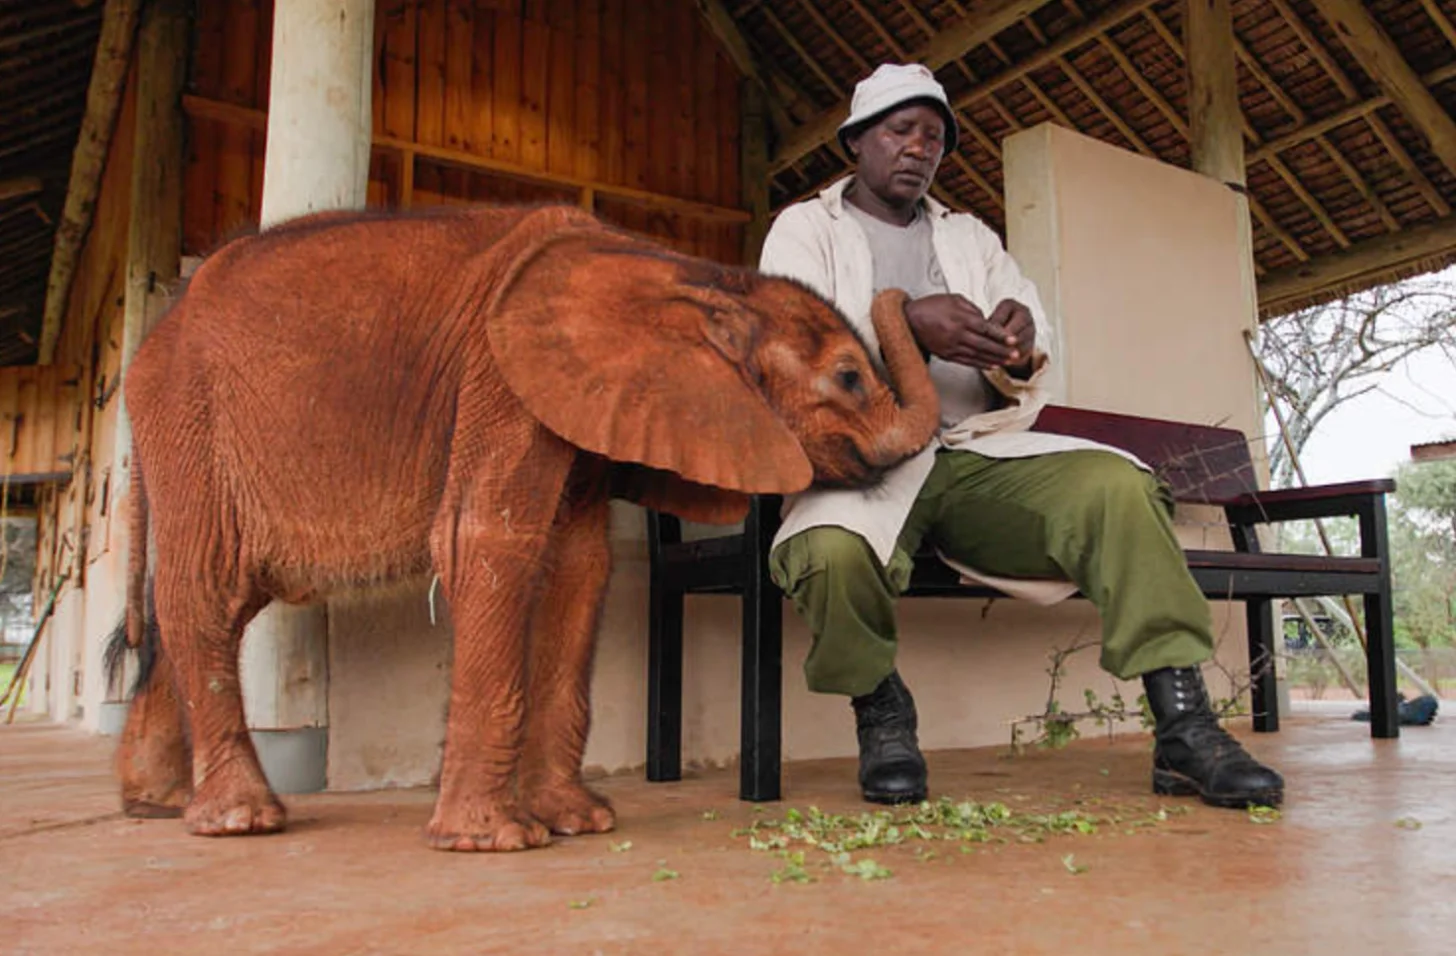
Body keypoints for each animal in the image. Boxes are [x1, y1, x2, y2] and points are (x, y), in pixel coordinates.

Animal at [108, 202, 939, 852]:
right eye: (848, 378)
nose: (911, 297)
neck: (696, 277)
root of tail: (155, 331)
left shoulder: (584, 404)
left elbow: (581, 567)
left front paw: (583, 822)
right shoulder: (500, 375)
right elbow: (487, 542)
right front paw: (494, 840)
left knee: (220, 596)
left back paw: (155, 803)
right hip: (188, 413)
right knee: (206, 586)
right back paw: (239, 820)